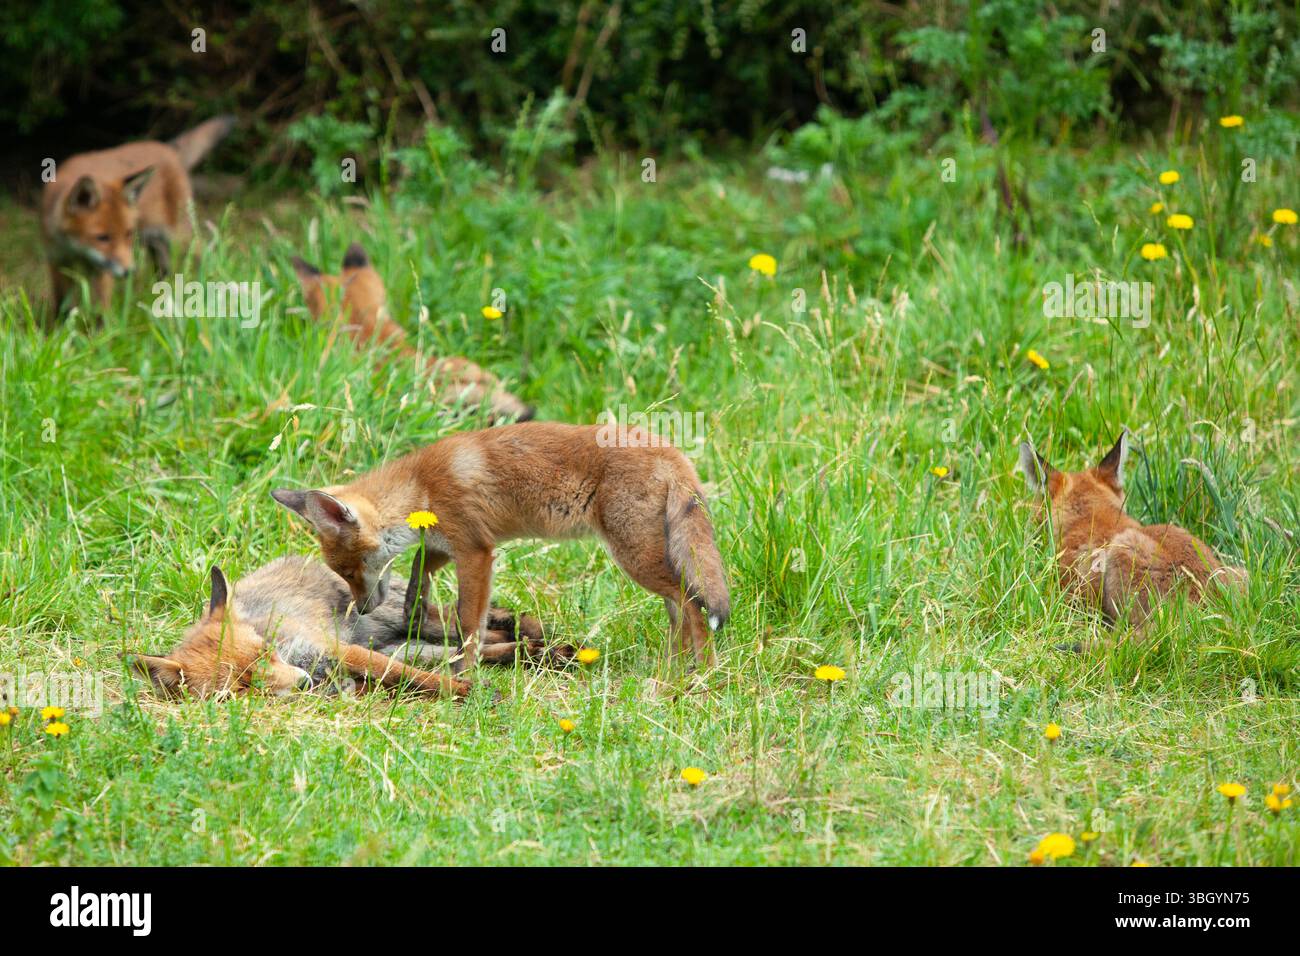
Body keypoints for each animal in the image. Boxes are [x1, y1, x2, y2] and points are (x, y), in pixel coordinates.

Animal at [41, 116, 236, 313]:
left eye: (127, 233)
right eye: (102, 238)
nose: (129, 271)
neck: (75, 250)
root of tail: (166, 147)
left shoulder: (102, 272)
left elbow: (101, 311)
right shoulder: (56, 262)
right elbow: (61, 306)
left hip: (179, 237)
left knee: (206, 256)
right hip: (155, 242)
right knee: (166, 271)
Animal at [126, 556, 573, 699]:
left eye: (267, 654)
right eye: (243, 687)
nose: (304, 682)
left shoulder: (336, 649)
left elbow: (405, 677)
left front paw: (465, 693)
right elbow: (401, 679)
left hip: (406, 620)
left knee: (474, 630)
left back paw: (535, 637)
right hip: (407, 643)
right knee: (477, 650)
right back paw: (538, 653)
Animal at [270, 421, 730, 672]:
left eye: (349, 571)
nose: (361, 611)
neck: (420, 489)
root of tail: (671, 451)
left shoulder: (476, 551)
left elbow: (468, 620)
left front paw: (464, 670)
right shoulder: (448, 541)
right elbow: (420, 567)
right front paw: (415, 607)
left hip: (636, 558)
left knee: (692, 603)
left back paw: (699, 674)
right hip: (651, 557)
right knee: (679, 611)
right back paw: (672, 669)